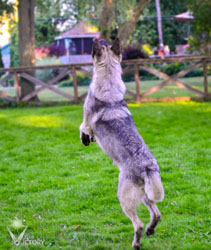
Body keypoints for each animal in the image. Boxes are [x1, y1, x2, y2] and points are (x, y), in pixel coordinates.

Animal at [80, 38, 164, 249]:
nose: (101, 39)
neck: (109, 82)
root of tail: (148, 167)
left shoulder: (86, 122)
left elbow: (82, 128)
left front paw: (85, 139)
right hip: (146, 195)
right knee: (157, 214)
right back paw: (151, 230)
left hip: (124, 197)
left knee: (138, 223)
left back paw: (137, 243)